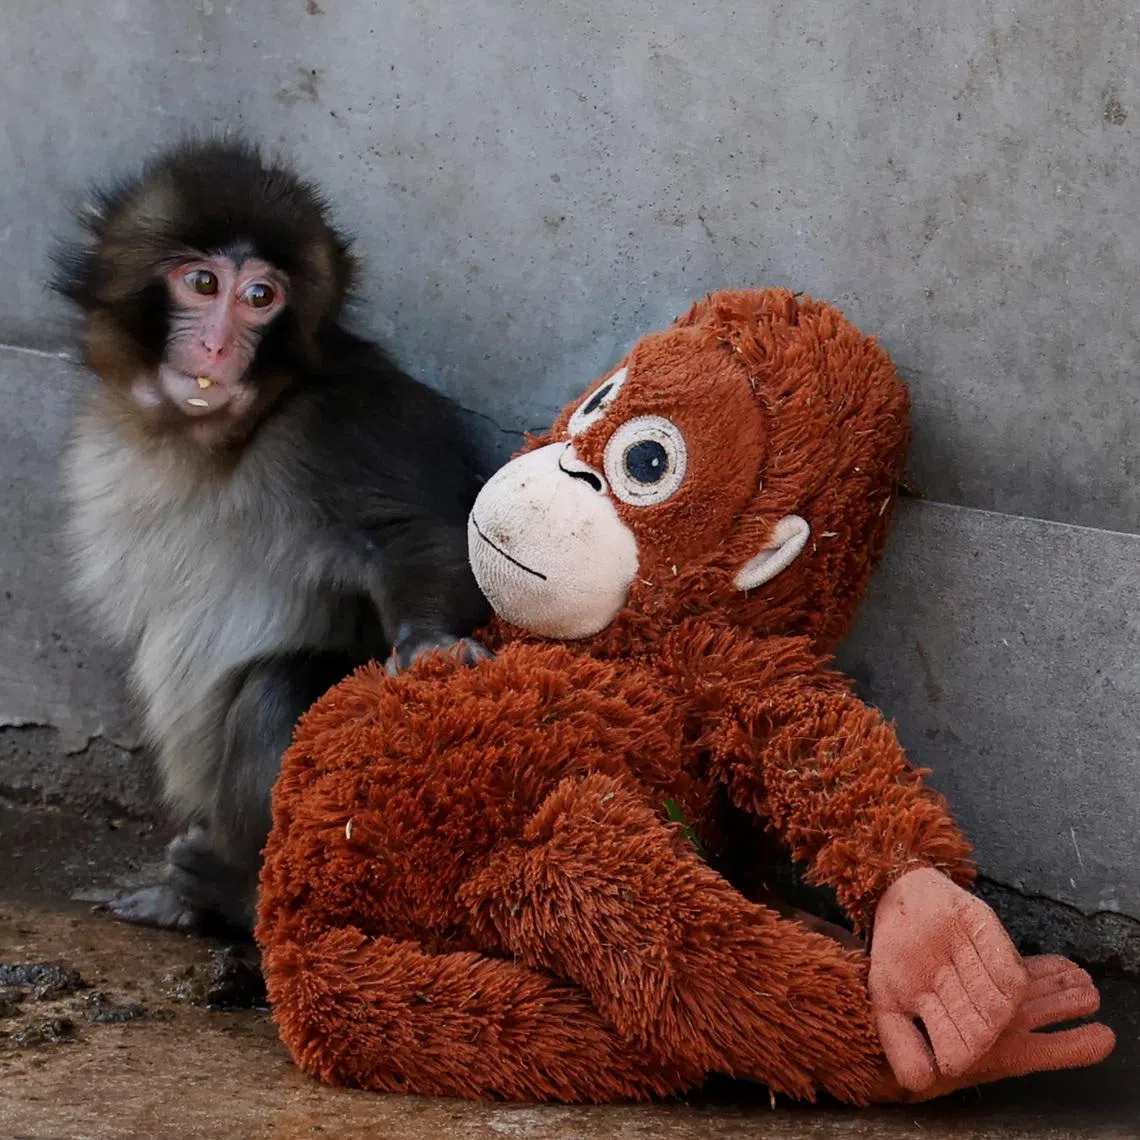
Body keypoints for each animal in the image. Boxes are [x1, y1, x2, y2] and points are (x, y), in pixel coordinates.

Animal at [51, 139, 492, 936]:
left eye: (262, 297)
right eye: (202, 283)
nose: (219, 345)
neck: (214, 439)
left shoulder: (342, 424)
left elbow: (414, 535)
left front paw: (430, 643)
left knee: (276, 692)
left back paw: (231, 892)